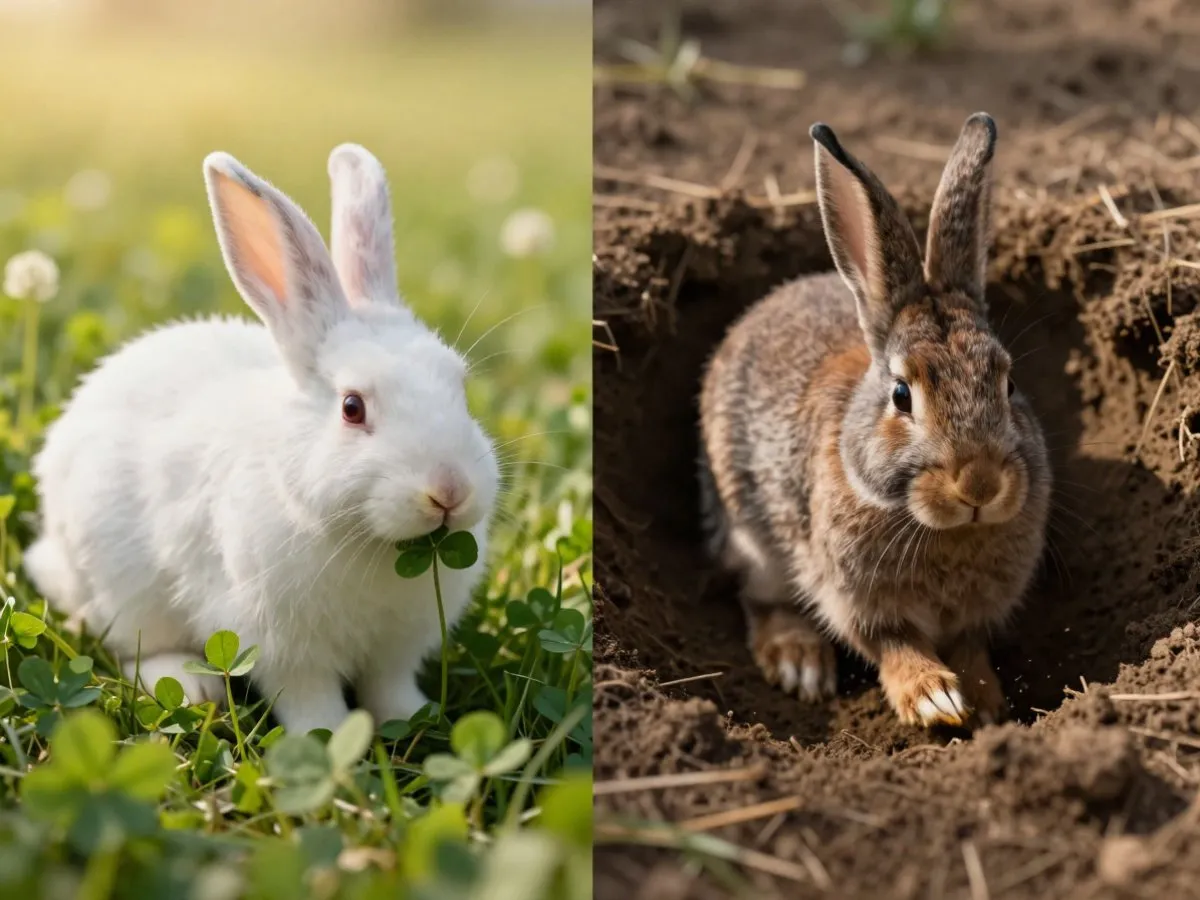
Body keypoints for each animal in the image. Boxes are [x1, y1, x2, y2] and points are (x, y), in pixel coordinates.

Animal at [23, 144, 499, 735]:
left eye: (460, 386)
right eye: (352, 408)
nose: (449, 491)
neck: (368, 543)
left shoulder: (397, 647)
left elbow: (388, 687)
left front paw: (411, 718)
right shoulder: (282, 646)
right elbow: (309, 699)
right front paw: (330, 738)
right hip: (123, 588)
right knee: (138, 646)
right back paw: (189, 684)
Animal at [698, 113, 1050, 728]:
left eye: (1007, 384)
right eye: (902, 395)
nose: (979, 484)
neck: (939, 528)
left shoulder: (978, 613)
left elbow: (970, 647)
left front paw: (986, 707)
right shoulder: (854, 596)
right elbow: (892, 643)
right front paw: (934, 698)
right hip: (753, 536)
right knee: (759, 599)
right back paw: (799, 662)